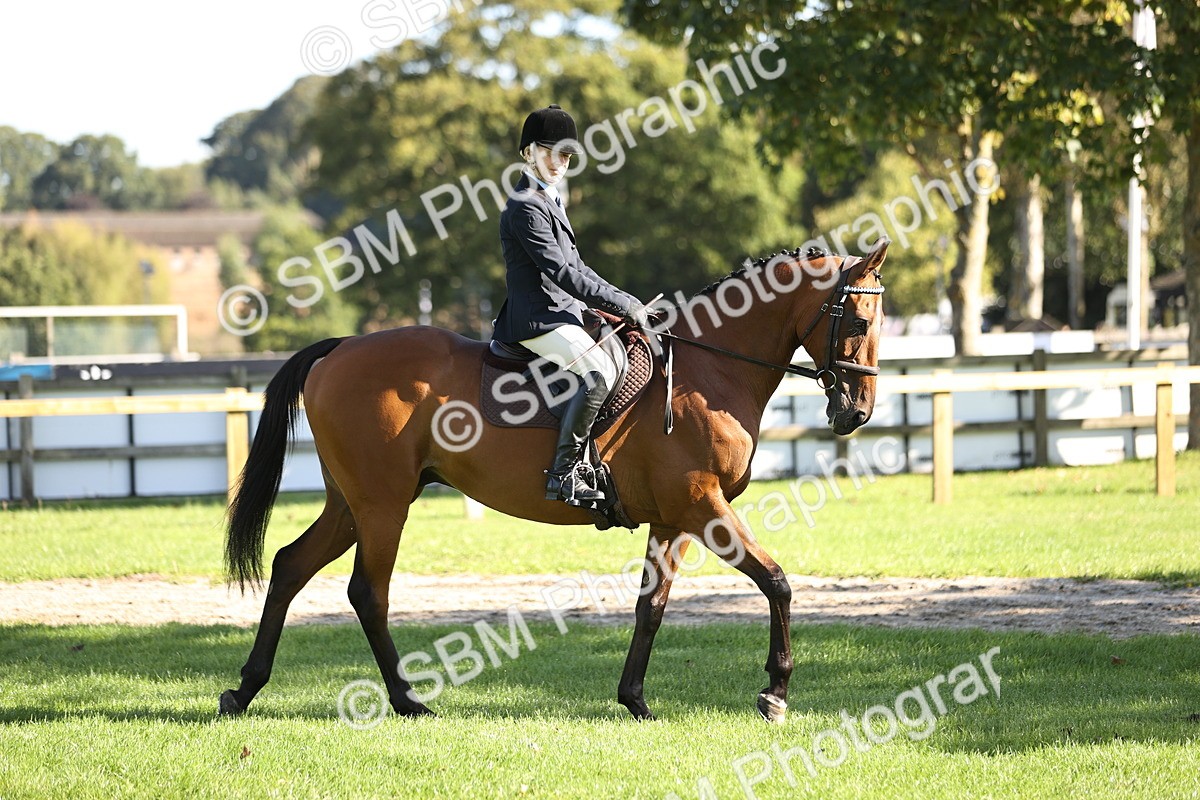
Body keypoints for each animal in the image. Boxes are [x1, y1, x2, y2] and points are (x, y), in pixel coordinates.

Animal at [217, 238, 889, 723]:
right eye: (857, 320)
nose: (856, 412)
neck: (710, 369)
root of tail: (340, 349)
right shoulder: (703, 505)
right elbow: (776, 582)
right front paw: (775, 694)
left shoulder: (673, 517)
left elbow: (651, 605)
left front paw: (635, 700)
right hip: (382, 506)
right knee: (368, 592)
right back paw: (407, 701)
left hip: (351, 504)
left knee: (290, 565)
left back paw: (244, 690)